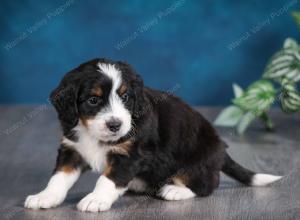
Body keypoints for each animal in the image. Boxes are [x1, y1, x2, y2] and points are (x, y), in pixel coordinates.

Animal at [23, 58, 282, 211]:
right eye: (93, 100)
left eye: (125, 97)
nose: (115, 125)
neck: (93, 134)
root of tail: (220, 148)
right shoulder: (72, 149)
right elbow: (59, 177)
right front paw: (44, 196)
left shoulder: (131, 154)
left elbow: (107, 179)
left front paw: (96, 199)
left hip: (196, 161)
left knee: (207, 184)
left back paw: (174, 190)